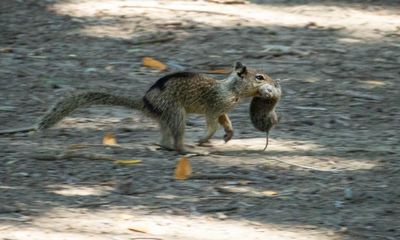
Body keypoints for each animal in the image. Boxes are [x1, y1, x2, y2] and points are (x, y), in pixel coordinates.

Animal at [0, 62, 280, 152]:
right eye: (259, 77)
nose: (276, 83)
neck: (231, 89)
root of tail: (146, 103)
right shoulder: (213, 106)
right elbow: (212, 123)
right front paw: (205, 138)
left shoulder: (222, 109)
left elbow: (225, 121)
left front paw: (229, 134)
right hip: (176, 113)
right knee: (175, 140)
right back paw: (189, 149)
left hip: (167, 118)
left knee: (164, 140)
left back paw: (168, 146)